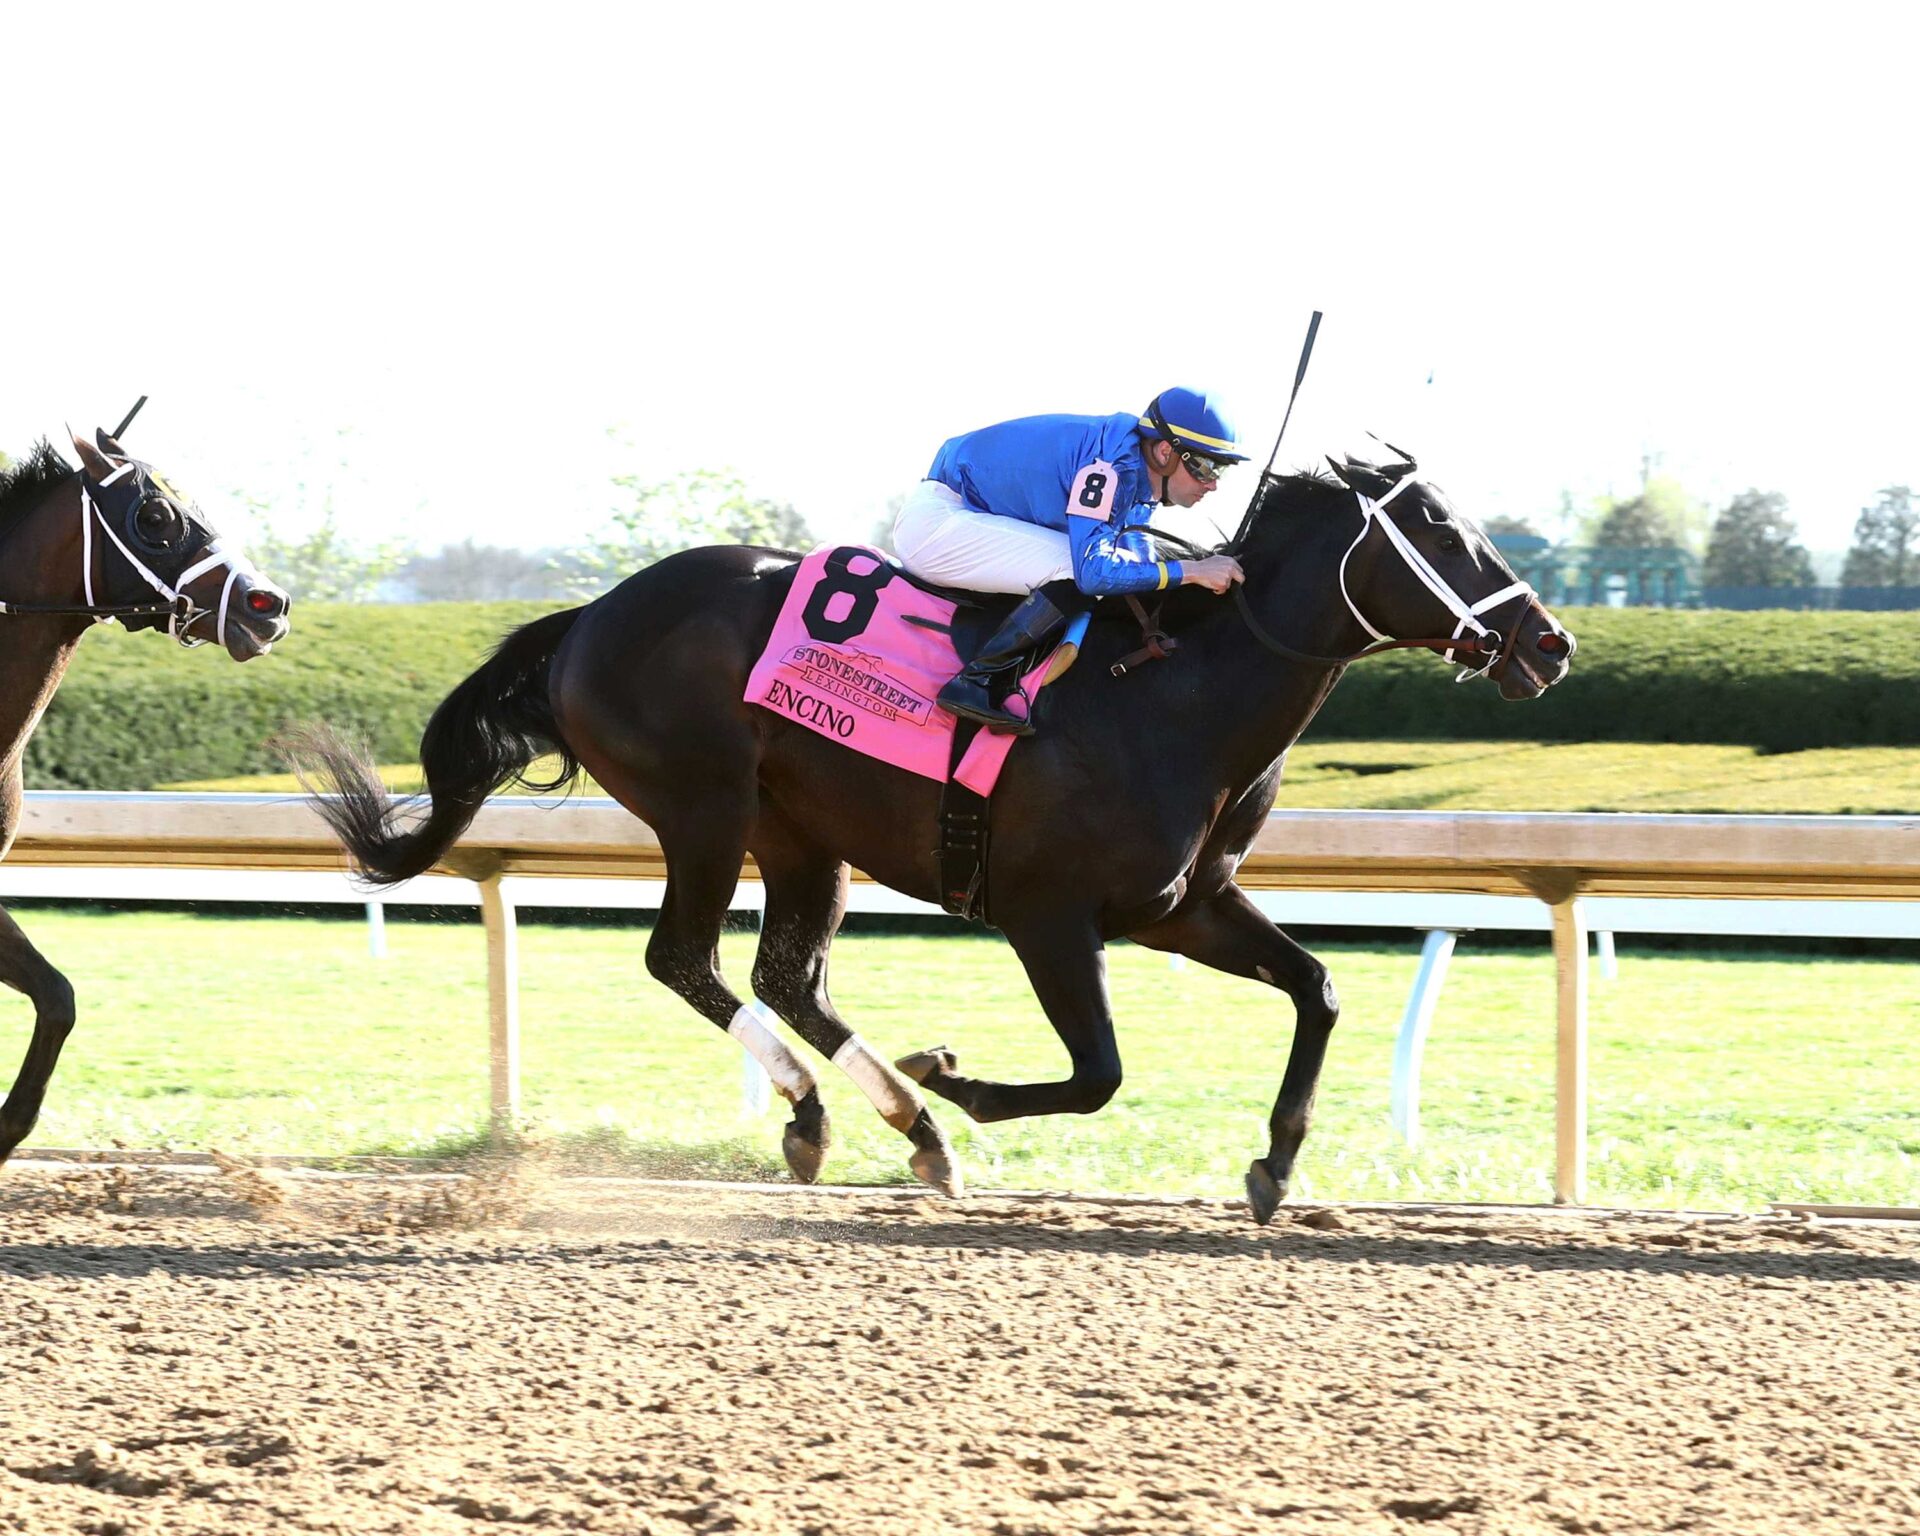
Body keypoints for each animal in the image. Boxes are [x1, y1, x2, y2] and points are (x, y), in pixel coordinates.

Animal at [292, 452, 1575, 1222]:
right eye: (1438, 532)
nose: (1551, 644)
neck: (1173, 694)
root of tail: (589, 616)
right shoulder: (1048, 918)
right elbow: (1099, 1075)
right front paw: (955, 1080)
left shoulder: (1181, 906)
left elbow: (1317, 989)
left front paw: (1272, 1166)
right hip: (705, 809)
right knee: (687, 960)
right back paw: (840, 1111)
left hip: (803, 833)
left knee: (785, 975)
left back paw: (887, 1126)